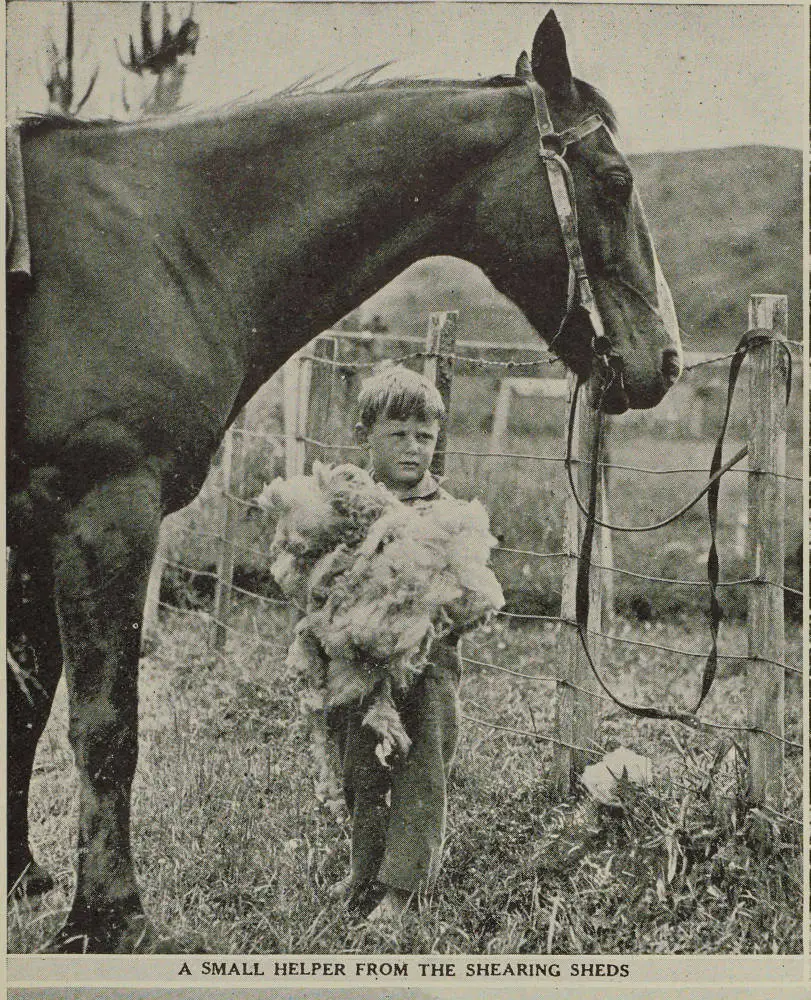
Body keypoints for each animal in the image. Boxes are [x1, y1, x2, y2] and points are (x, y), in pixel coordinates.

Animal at [9, 13, 680, 952]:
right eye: (615, 182)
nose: (665, 359)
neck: (161, 243)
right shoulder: (101, 512)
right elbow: (105, 726)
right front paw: (111, 918)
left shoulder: (36, 524)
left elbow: (26, 707)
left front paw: (25, 880)